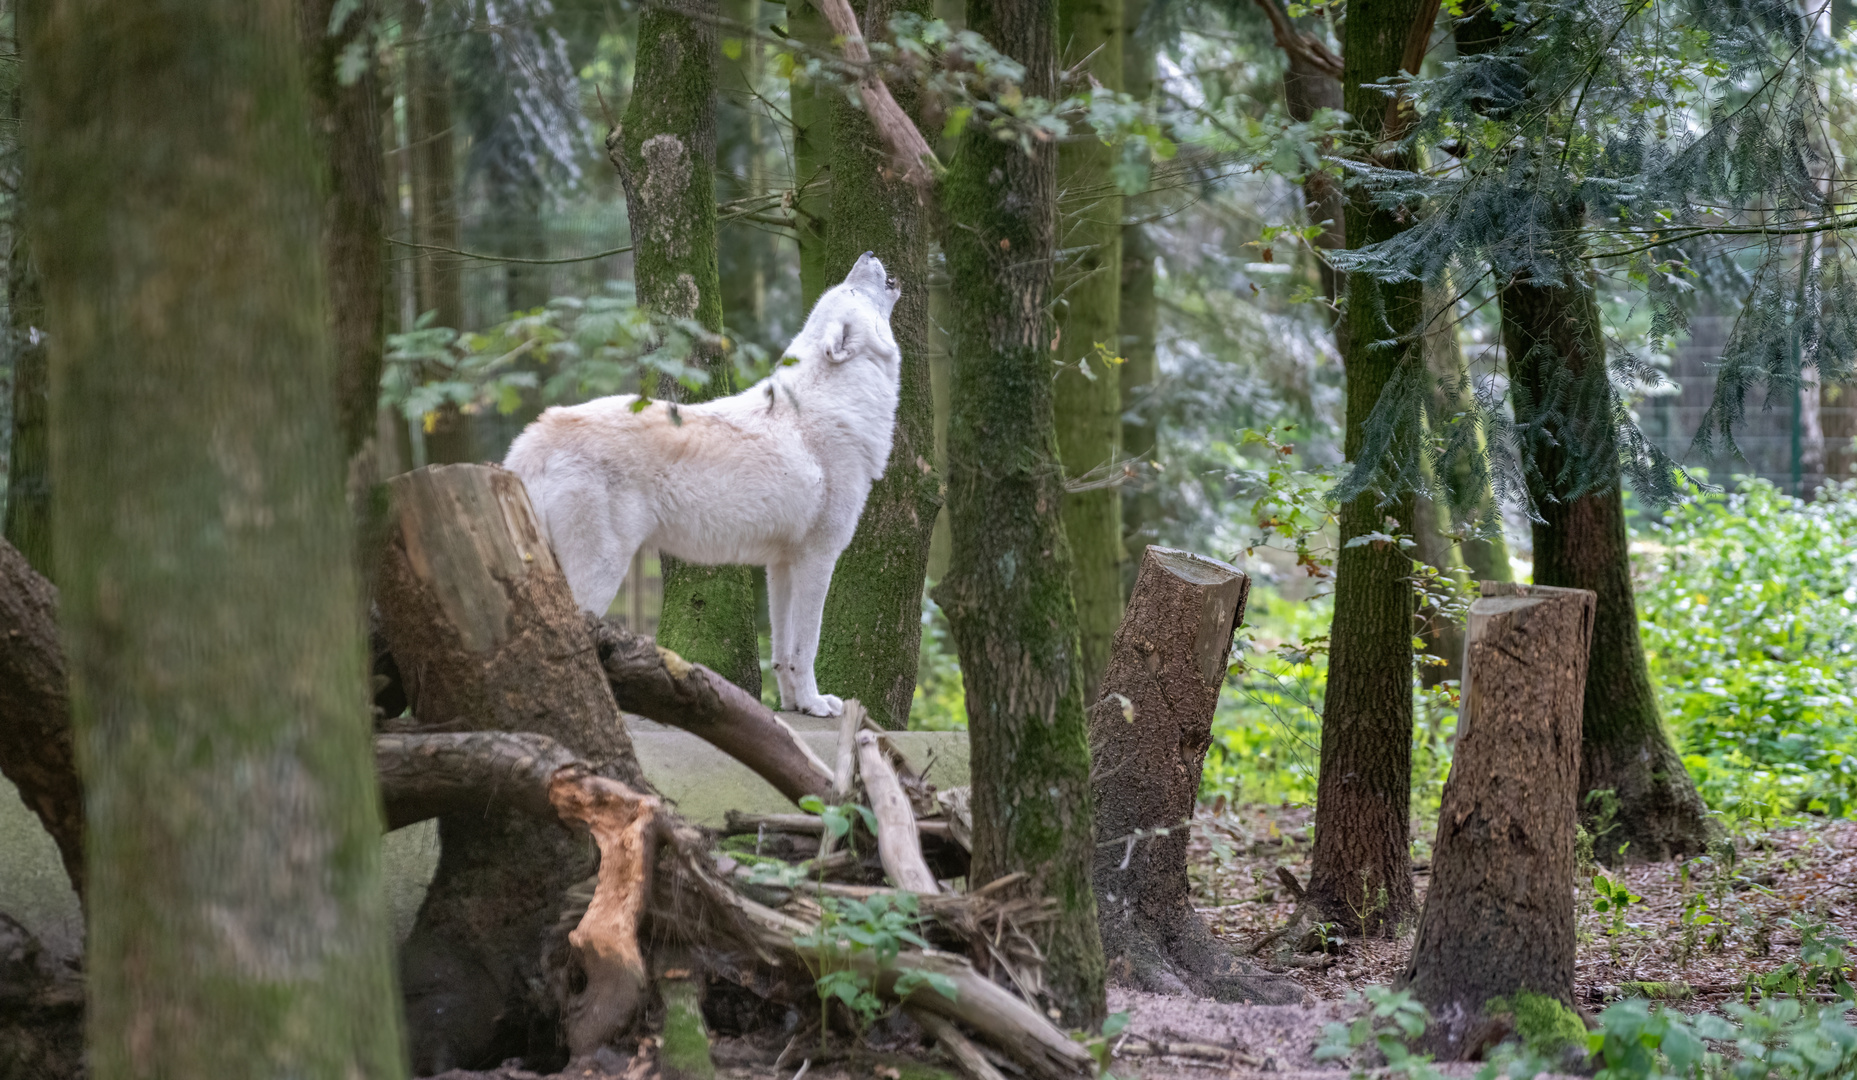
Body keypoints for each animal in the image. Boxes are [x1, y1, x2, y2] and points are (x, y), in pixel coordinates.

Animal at [508, 254, 898, 720]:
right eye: (850, 290)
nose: (868, 255)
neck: (837, 404)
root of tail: (534, 435)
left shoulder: (781, 565)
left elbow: (782, 653)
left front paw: (791, 706)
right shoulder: (818, 558)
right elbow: (806, 647)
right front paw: (815, 704)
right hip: (599, 572)